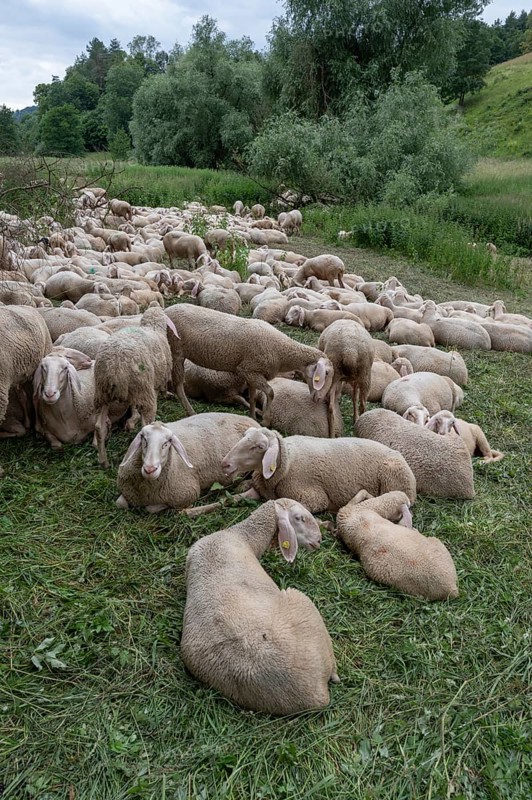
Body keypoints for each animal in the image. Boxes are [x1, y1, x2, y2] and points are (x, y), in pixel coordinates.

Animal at [0, 307, 53, 476]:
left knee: (36, 397)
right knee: (23, 395)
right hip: (19, 374)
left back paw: (37, 428)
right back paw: (28, 423)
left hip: (40, 362)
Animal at [93, 306, 177, 468]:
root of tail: (113, 368)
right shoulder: (158, 377)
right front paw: (167, 394)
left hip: (102, 394)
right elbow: (162, 387)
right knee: (147, 425)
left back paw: (103, 461)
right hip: (143, 390)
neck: (153, 327)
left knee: (99, 427)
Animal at [116, 414, 260, 513]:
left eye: (167, 443)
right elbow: (120, 504)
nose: (150, 469)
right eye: (143, 439)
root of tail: (251, 419)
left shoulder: (188, 493)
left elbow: (151, 509)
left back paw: (244, 485)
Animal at [164, 304, 334, 427]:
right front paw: (265, 420)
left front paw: (253, 417)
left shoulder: (252, 373)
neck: (281, 351)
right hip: (177, 351)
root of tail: (166, 310)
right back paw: (190, 411)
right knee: (178, 385)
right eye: (325, 374)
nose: (319, 399)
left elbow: (252, 398)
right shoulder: (248, 370)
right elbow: (271, 392)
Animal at [221, 427, 416, 512]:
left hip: (394, 483)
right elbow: (232, 499)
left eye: (260, 446)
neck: (287, 463)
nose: (225, 464)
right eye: (244, 436)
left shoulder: (313, 497)